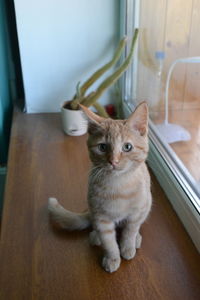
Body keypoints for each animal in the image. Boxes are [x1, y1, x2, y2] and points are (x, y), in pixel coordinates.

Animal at [48, 102, 152, 274]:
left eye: (127, 147)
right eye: (103, 147)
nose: (113, 161)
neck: (118, 185)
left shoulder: (136, 213)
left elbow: (130, 231)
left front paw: (127, 247)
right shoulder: (101, 217)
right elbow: (108, 241)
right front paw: (112, 258)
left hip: (148, 203)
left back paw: (136, 238)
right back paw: (95, 236)